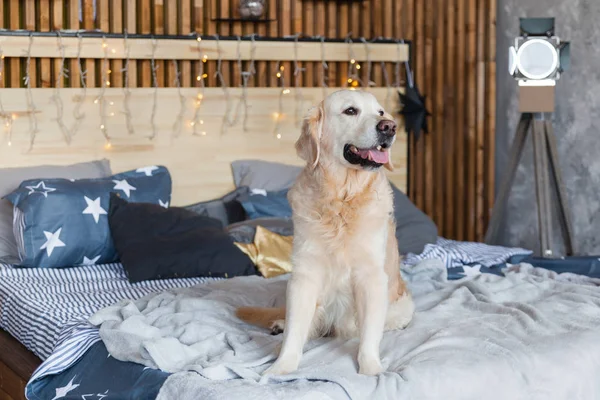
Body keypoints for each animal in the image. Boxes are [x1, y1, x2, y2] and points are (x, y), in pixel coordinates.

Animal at [237, 89, 414, 376]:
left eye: (380, 112)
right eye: (351, 111)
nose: (389, 127)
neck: (341, 199)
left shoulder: (371, 277)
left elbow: (369, 336)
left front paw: (371, 369)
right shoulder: (304, 276)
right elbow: (295, 331)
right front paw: (281, 367)